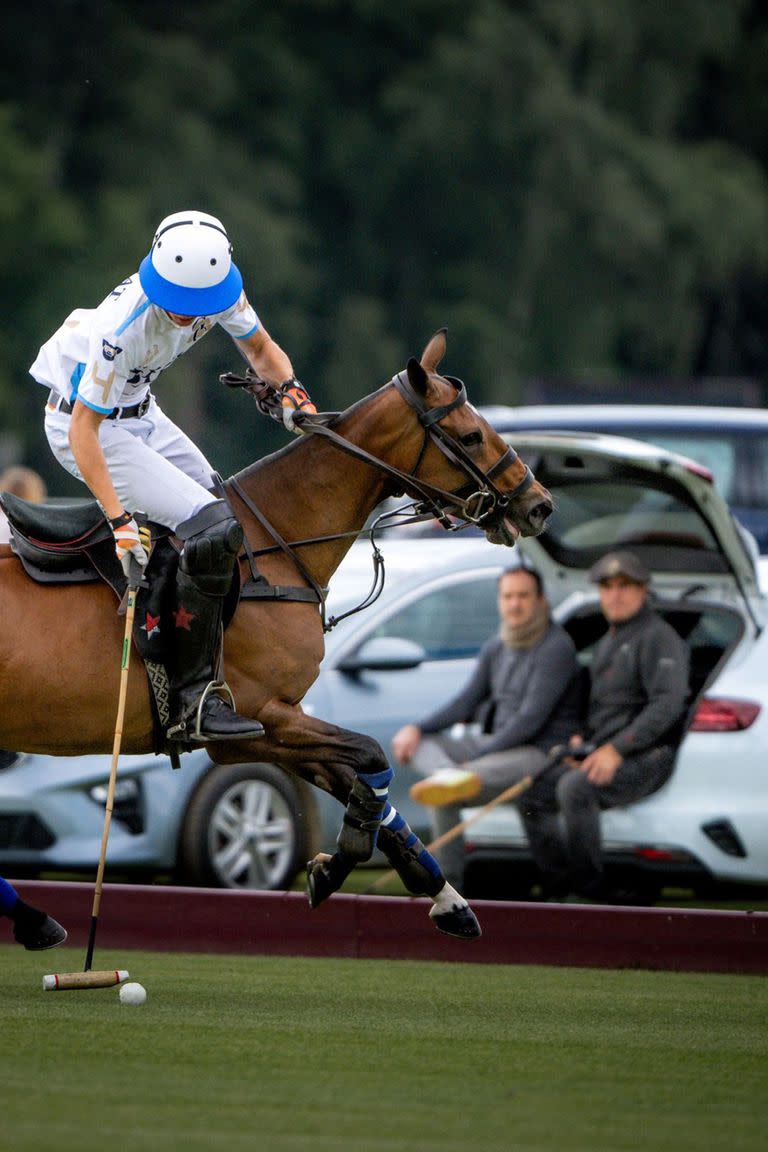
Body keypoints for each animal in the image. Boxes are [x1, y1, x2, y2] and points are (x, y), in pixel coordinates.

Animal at [0, 331, 552, 935]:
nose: (539, 505)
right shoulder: (257, 717)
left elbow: (364, 781)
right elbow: (371, 754)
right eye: (472, 435)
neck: (278, 545)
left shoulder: (279, 721)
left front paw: (441, 897)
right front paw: (342, 861)